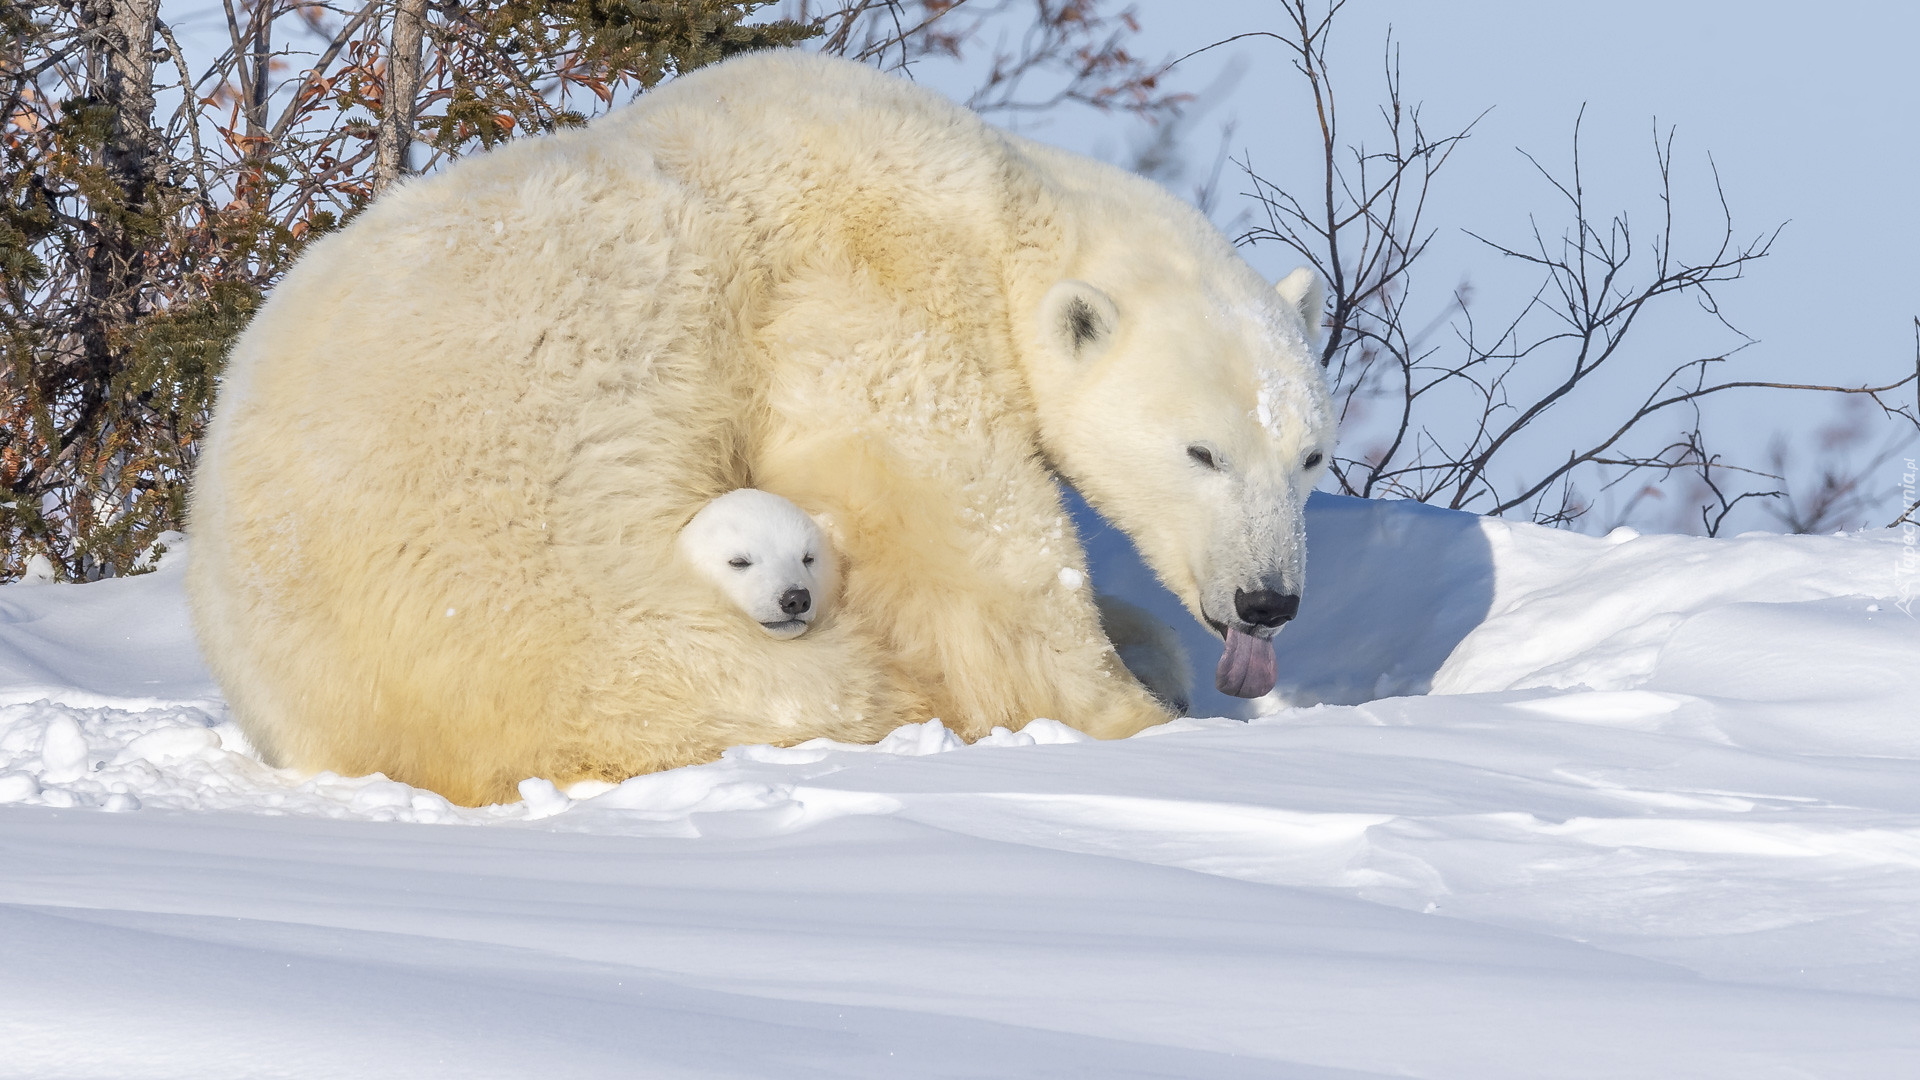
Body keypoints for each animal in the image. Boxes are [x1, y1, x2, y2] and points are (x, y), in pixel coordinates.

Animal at [191, 52, 1336, 807]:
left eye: (1310, 456)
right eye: (1201, 451)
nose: (1269, 601)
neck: (992, 200)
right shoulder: (865, 280)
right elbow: (950, 514)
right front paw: (1130, 714)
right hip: (562, 609)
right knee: (781, 687)